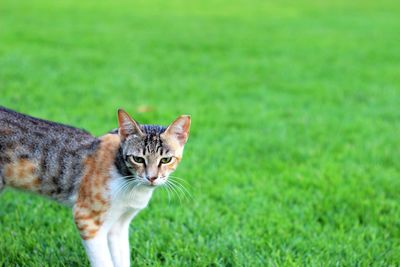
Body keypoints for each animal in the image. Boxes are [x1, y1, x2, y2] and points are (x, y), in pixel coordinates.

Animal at [0, 107, 191, 267]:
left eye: (166, 160)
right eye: (138, 159)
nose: (151, 177)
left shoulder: (118, 227)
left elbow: (122, 259)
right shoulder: (86, 218)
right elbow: (103, 262)